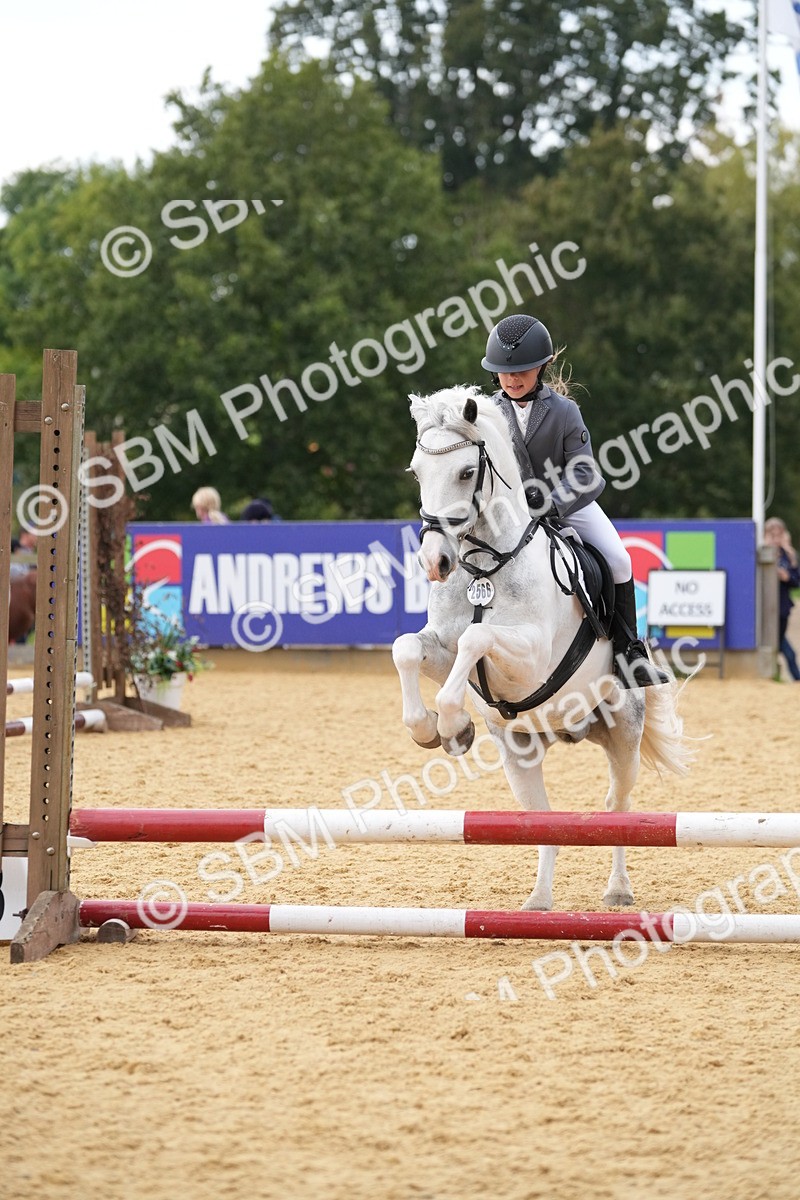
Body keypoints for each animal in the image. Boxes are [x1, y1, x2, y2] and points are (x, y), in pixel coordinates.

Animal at [391, 385, 693, 911]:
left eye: (466, 472)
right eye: (416, 471)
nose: (435, 562)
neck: (486, 565)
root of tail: (571, 731)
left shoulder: (529, 660)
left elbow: (476, 638)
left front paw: (451, 724)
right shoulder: (445, 652)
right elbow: (407, 648)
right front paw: (436, 730)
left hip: (624, 734)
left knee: (618, 807)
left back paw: (617, 890)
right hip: (521, 751)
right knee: (542, 820)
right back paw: (538, 899)